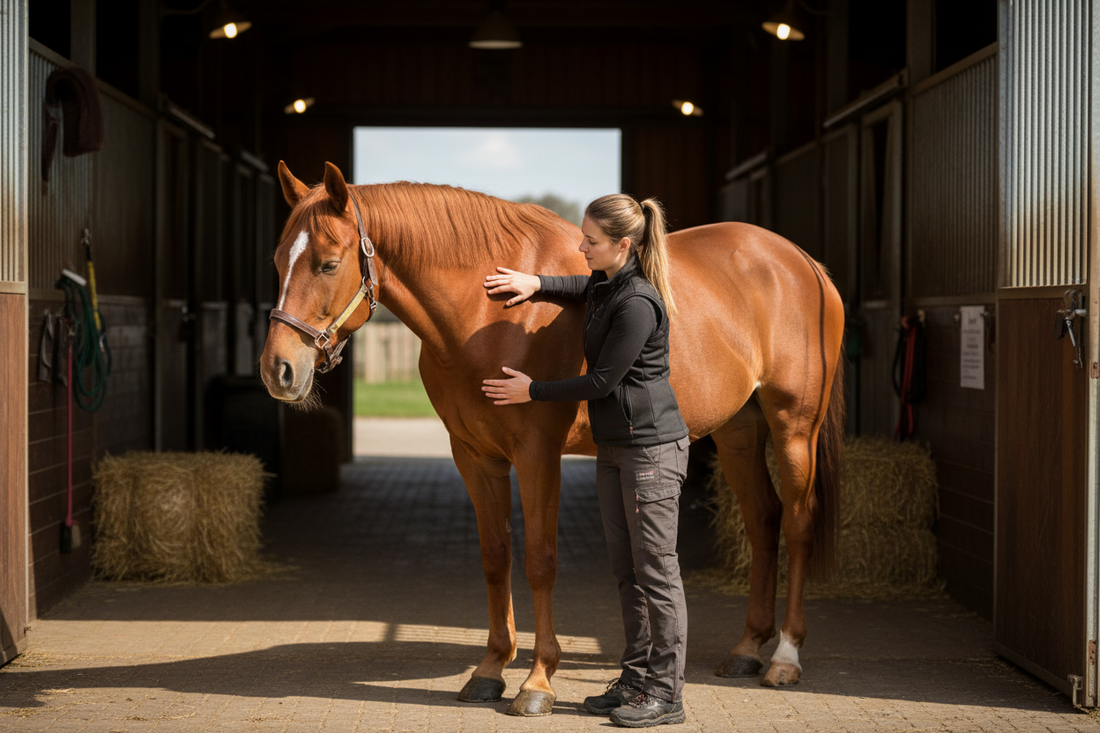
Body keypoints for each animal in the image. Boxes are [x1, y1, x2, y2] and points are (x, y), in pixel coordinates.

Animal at [260, 161, 845, 717]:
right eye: (277, 262)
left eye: (328, 264)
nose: (278, 370)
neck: (490, 312)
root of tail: (802, 263)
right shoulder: (475, 457)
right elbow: (496, 556)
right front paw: (490, 670)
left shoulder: (538, 454)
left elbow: (540, 560)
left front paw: (537, 682)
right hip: (739, 431)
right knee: (763, 521)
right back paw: (747, 649)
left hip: (793, 426)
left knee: (796, 524)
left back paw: (785, 657)